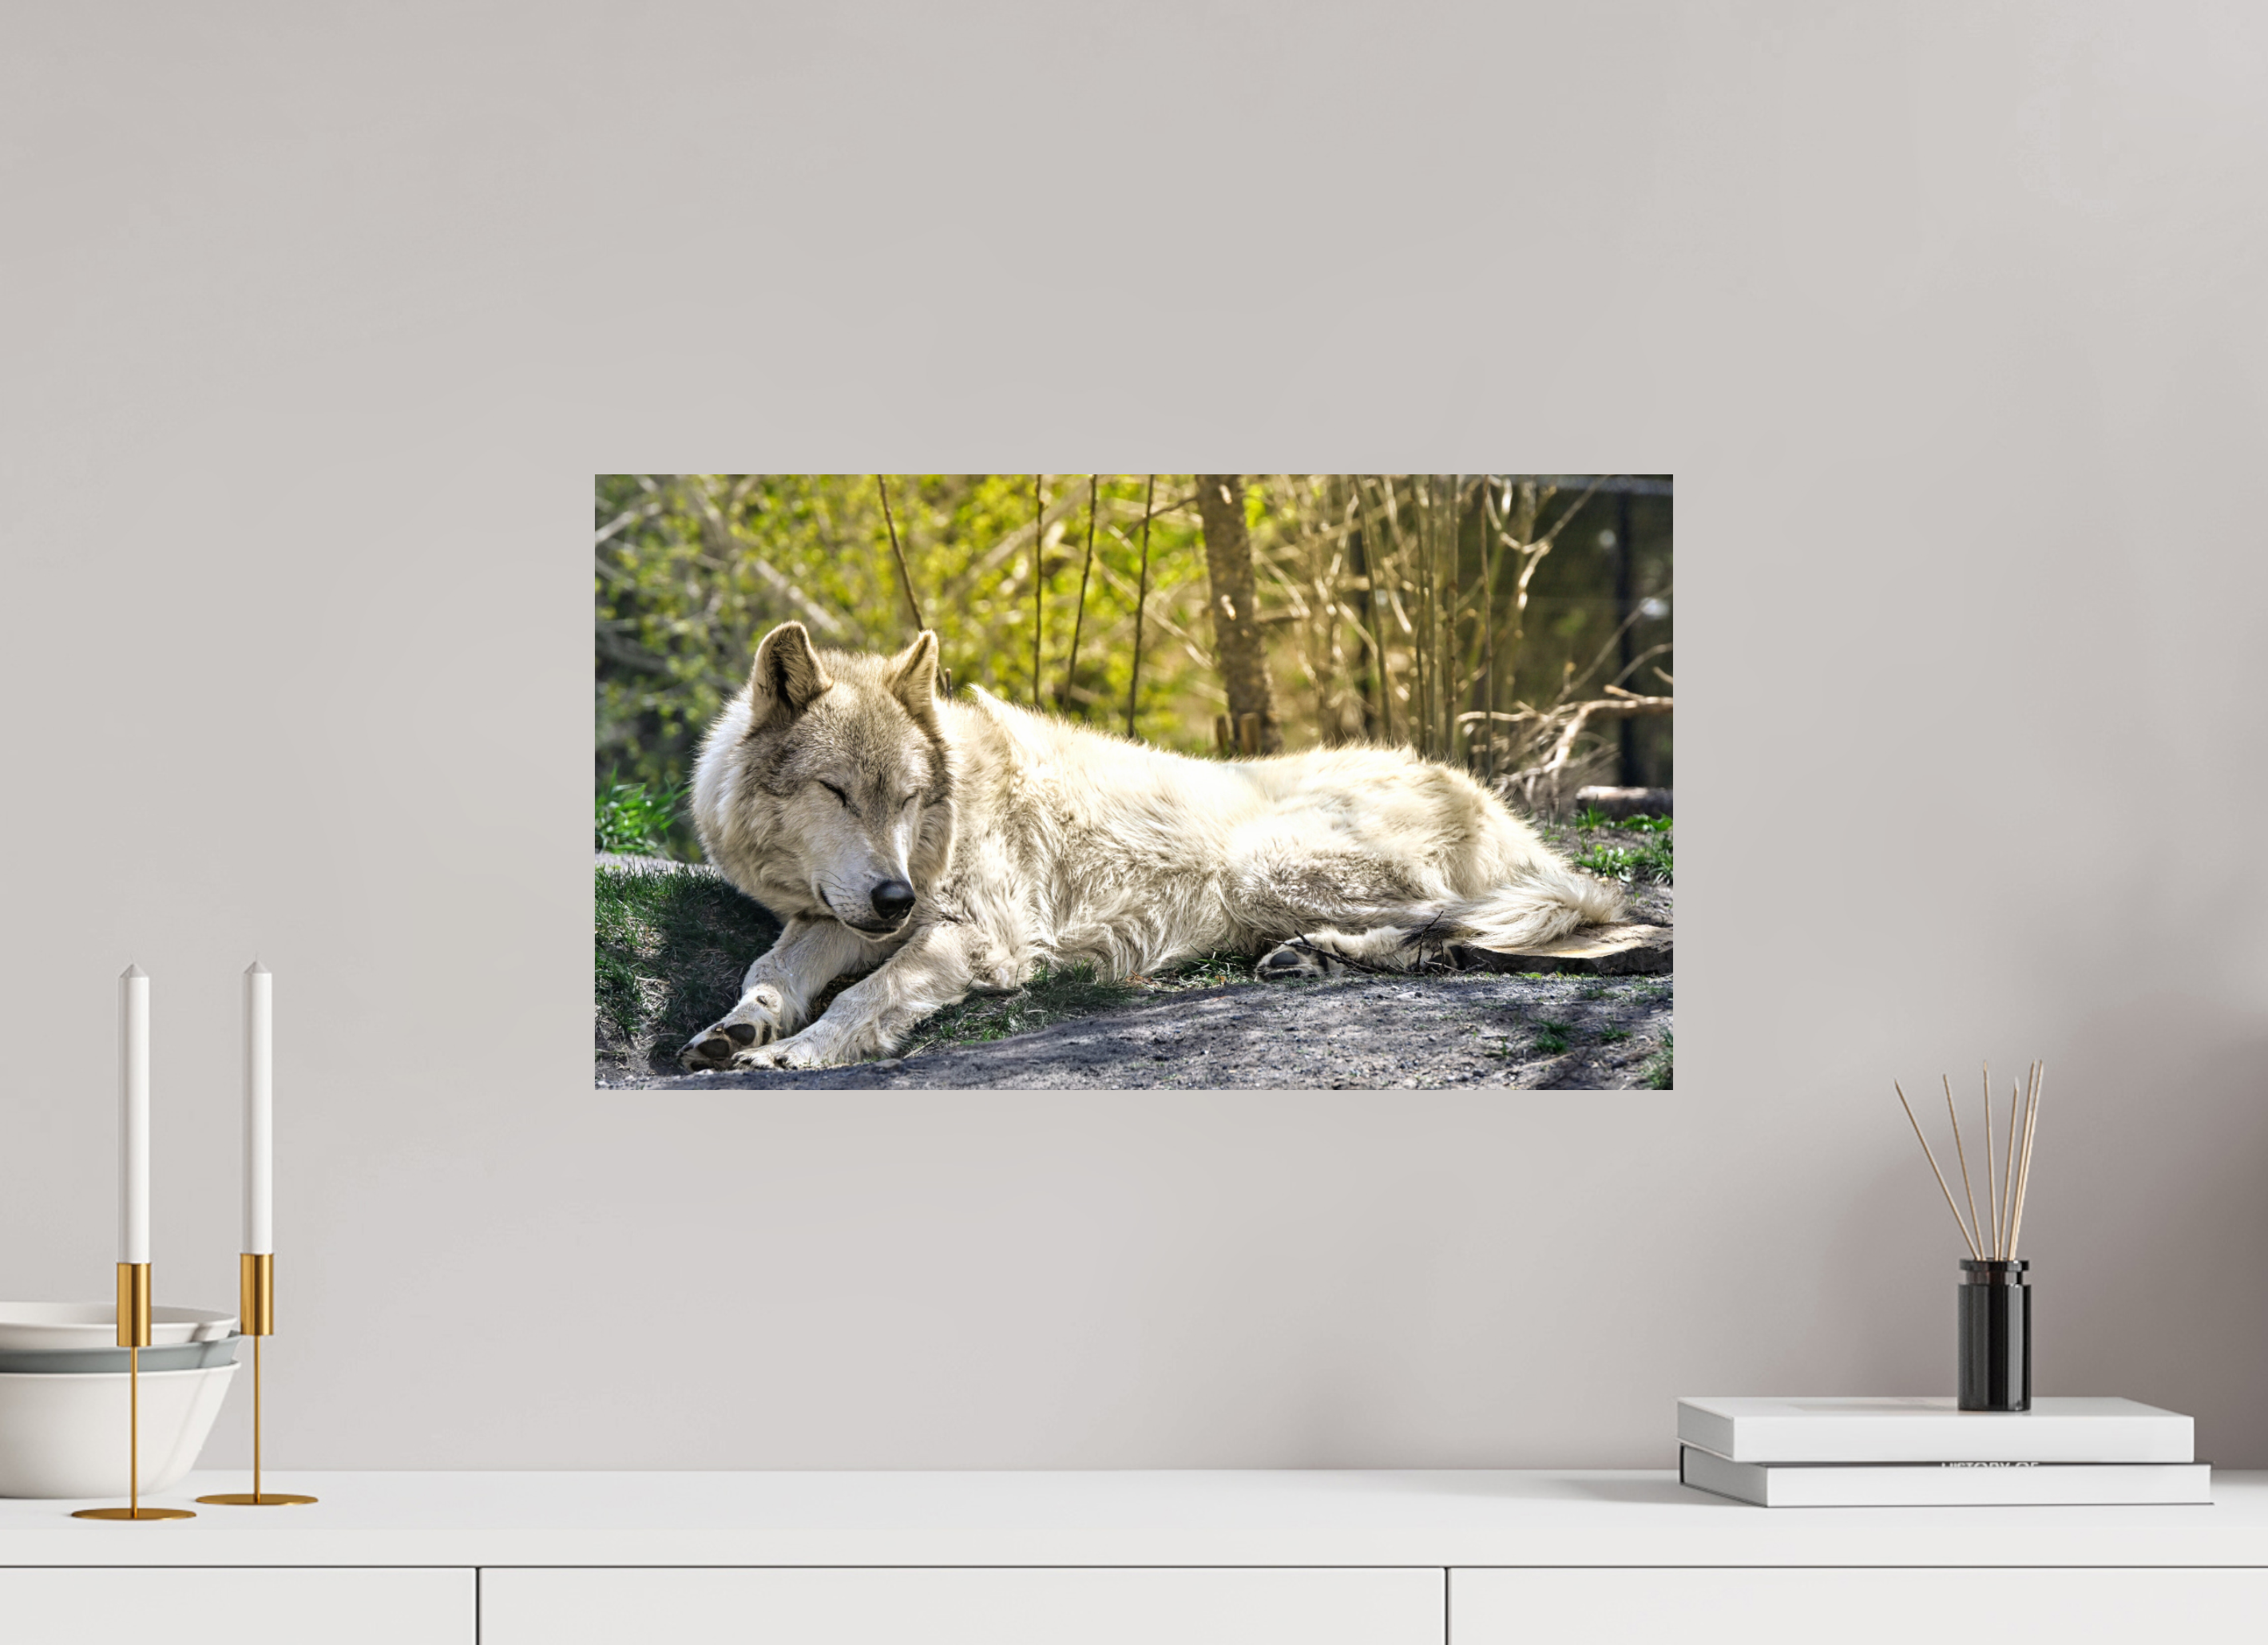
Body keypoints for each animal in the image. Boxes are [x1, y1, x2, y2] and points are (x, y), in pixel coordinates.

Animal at [677, 622, 1624, 1071]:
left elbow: (867, 994)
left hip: (1261, 864)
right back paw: (1306, 955)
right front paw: (735, 1028)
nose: (895, 897)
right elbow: (769, 968)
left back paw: (1323, 951)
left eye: (907, 798)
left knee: (1467, 920)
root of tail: (1494, 806)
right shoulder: (834, 914)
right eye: (838, 793)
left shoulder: (978, 935)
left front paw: (796, 1050)